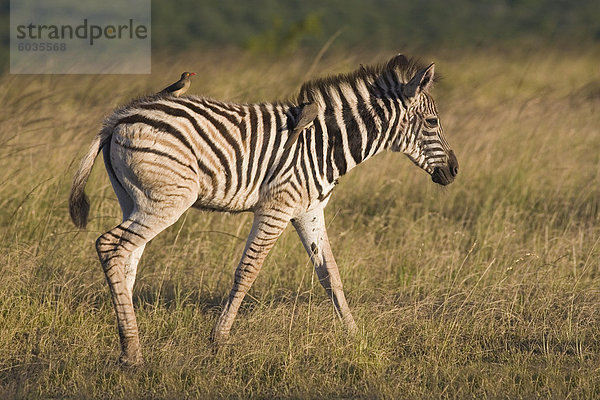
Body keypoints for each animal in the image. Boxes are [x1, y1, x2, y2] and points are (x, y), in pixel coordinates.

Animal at [68, 54, 458, 366]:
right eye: (432, 123)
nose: (454, 171)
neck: (324, 143)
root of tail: (119, 118)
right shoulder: (278, 207)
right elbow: (248, 270)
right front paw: (218, 341)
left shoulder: (309, 210)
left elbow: (330, 274)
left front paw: (354, 335)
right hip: (168, 199)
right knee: (110, 246)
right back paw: (132, 353)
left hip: (135, 199)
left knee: (127, 257)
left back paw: (127, 343)